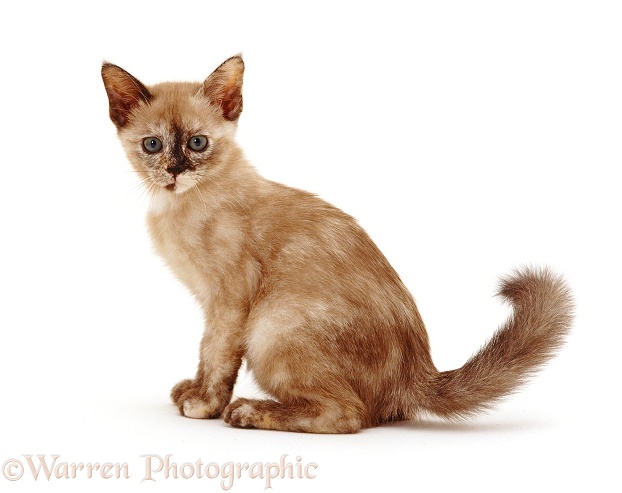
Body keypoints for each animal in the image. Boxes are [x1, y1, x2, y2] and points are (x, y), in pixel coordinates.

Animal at [102, 55, 576, 432]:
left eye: (197, 142)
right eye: (152, 145)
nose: (175, 170)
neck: (179, 205)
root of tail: (416, 373)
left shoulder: (229, 302)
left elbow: (216, 355)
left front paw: (204, 404)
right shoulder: (212, 304)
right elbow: (205, 354)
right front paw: (193, 389)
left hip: (272, 326)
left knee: (348, 415)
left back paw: (249, 411)